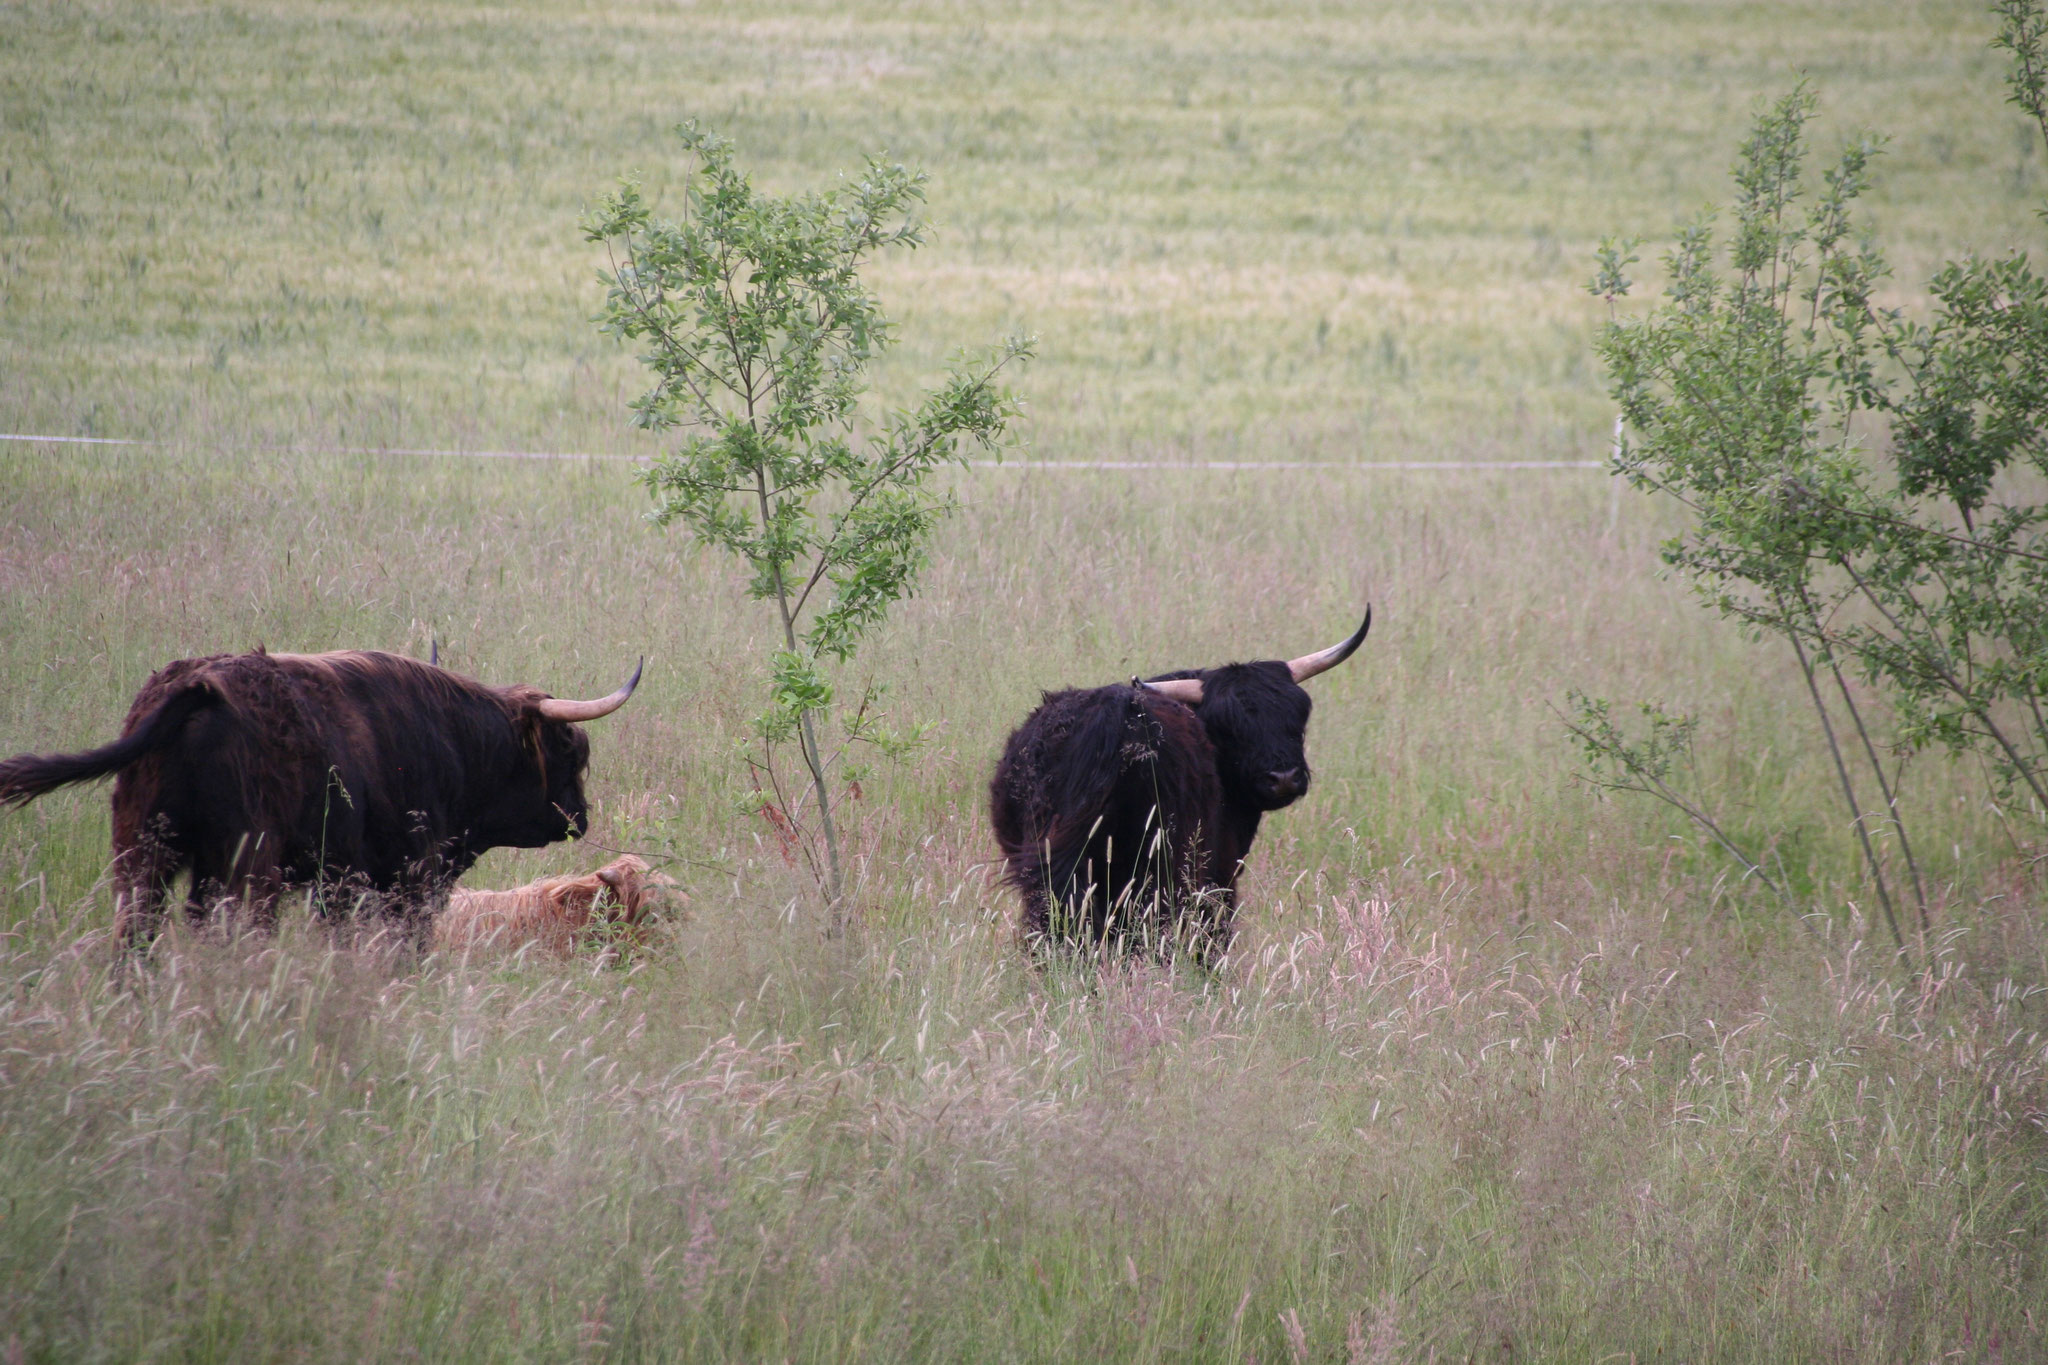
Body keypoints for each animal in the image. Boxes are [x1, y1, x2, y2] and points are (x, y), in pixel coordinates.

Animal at [0, 646, 638, 945]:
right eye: (570, 749)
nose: (579, 817)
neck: (453, 740)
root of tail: (199, 685)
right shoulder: (407, 878)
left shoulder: (340, 884)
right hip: (249, 867)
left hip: (142, 854)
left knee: (136, 938)